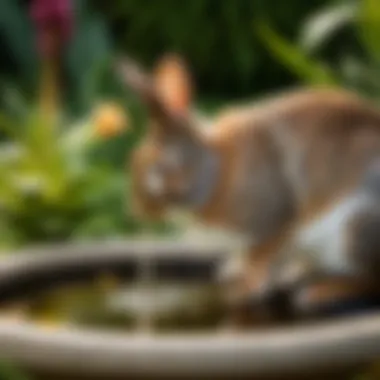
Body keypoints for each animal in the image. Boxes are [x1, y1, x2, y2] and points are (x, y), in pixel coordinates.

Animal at [118, 54, 380, 326]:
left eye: (158, 167)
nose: (136, 210)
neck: (214, 172)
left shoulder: (274, 223)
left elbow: (261, 258)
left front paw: (245, 290)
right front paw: (233, 275)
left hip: (354, 228)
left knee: (370, 282)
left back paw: (320, 293)